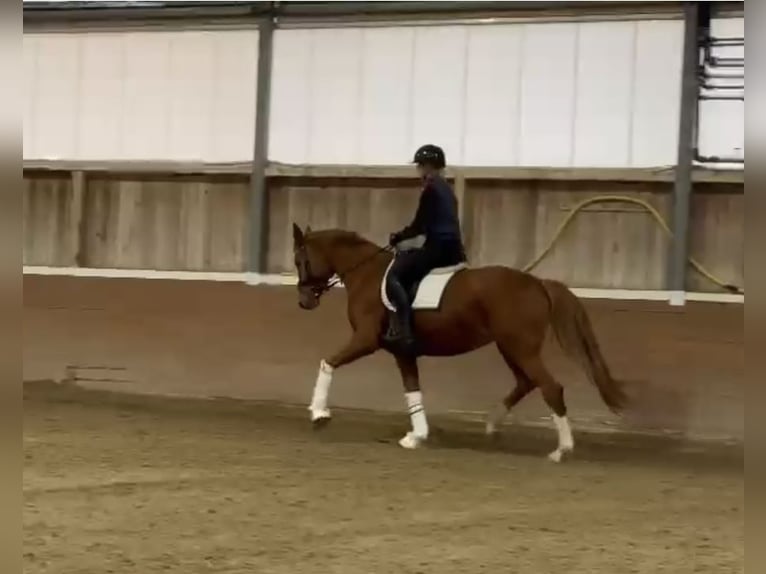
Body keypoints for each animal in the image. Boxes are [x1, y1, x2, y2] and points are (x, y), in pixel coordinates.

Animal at [292, 225, 628, 464]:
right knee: (526, 383)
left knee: (550, 387)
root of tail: (538, 283)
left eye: (300, 260)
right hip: (510, 347)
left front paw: (318, 414)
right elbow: (412, 391)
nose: (304, 301)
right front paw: (417, 436)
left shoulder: (365, 340)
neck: (367, 274)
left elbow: (327, 362)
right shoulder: (403, 351)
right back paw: (492, 426)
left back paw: (561, 450)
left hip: (520, 347)